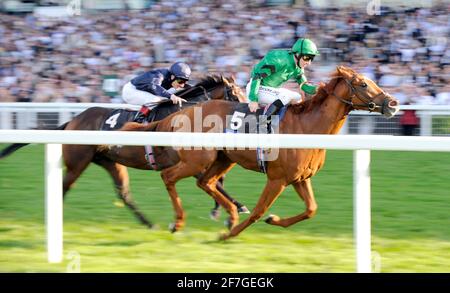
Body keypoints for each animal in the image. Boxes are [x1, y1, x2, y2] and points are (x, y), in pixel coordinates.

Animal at [0, 74, 250, 228]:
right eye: (236, 94)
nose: (250, 110)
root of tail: (72, 121)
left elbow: (217, 179)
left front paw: (227, 208)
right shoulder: (184, 161)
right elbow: (213, 181)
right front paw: (232, 207)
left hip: (111, 162)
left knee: (124, 193)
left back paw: (149, 223)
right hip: (78, 162)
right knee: (64, 187)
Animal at [121, 65, 400, 236]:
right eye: (363, 84)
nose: (393, 103)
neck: (307, 125)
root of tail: (182, 112)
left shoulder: (300, 178)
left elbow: (311, 209)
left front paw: (273, 220)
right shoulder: (277, 178)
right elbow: (260, 210)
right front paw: (236, 230)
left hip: (222, 159)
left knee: (205, 182)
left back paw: (231, 213)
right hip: (196, 159)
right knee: (169, 177)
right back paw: (178, 221)